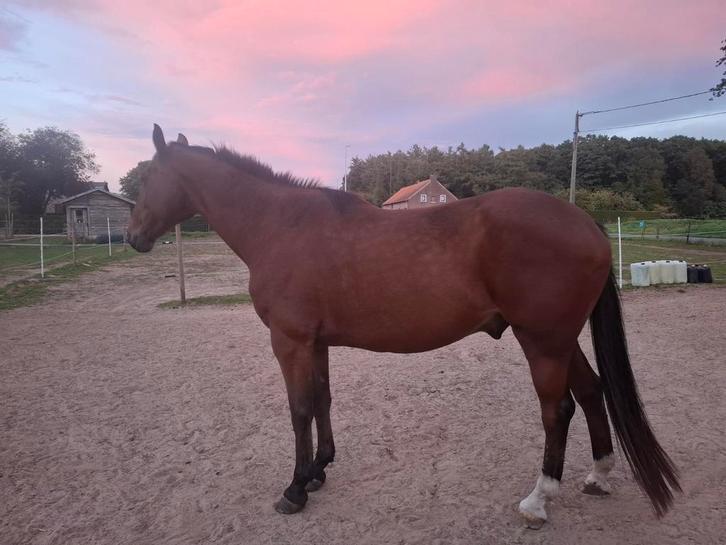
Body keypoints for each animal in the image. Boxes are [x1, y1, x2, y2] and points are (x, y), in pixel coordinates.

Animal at [126, 125, 680, 528]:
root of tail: (585, 223)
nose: (132, 237)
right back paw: (598, 475)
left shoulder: (290, 342)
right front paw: (320, 470)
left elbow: (299, 409)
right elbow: (323, 400)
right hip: (561, 340)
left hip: (542, 341)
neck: (281, 225)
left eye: (148, 177)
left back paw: (538, 500)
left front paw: (295, 489)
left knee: (558, 409)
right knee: (591, 391)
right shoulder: (316, 343)